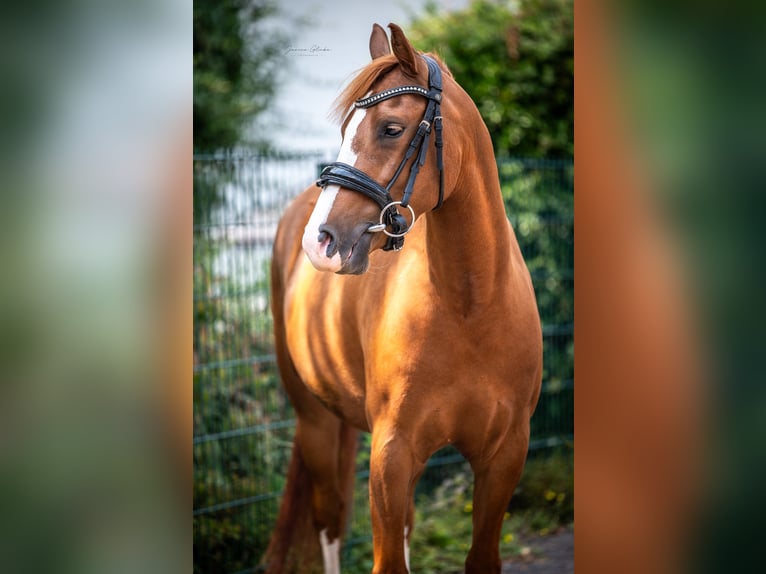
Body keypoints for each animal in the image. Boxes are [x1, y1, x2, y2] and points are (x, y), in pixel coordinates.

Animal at [264, 23, 542, 574]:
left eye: (391, 129)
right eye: (346, 127)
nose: (319, 241)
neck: (471, 306)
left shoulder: (505, 458)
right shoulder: (391, 456)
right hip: (316, 422)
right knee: (329, 521)